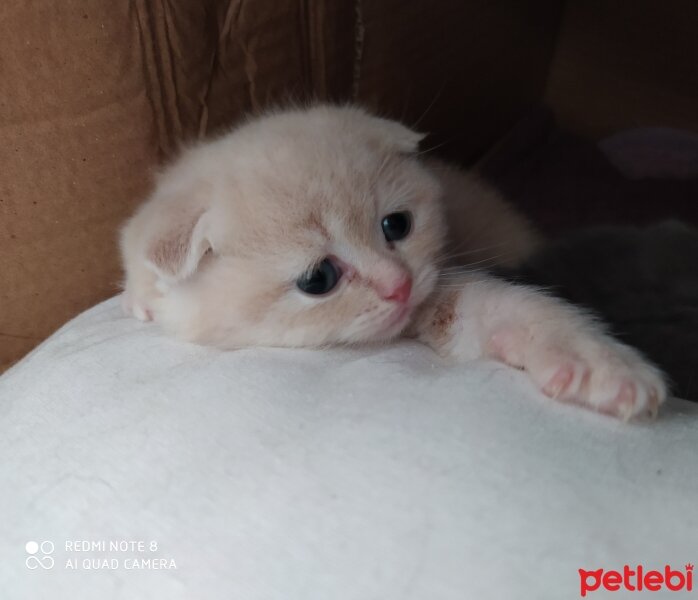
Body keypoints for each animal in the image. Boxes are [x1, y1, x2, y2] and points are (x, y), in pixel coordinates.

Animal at [119, 103, 664, 420]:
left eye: (396, 226)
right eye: (319, 278)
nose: (399, 285)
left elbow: (506, 306)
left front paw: (601, 365)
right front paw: (140, 299)